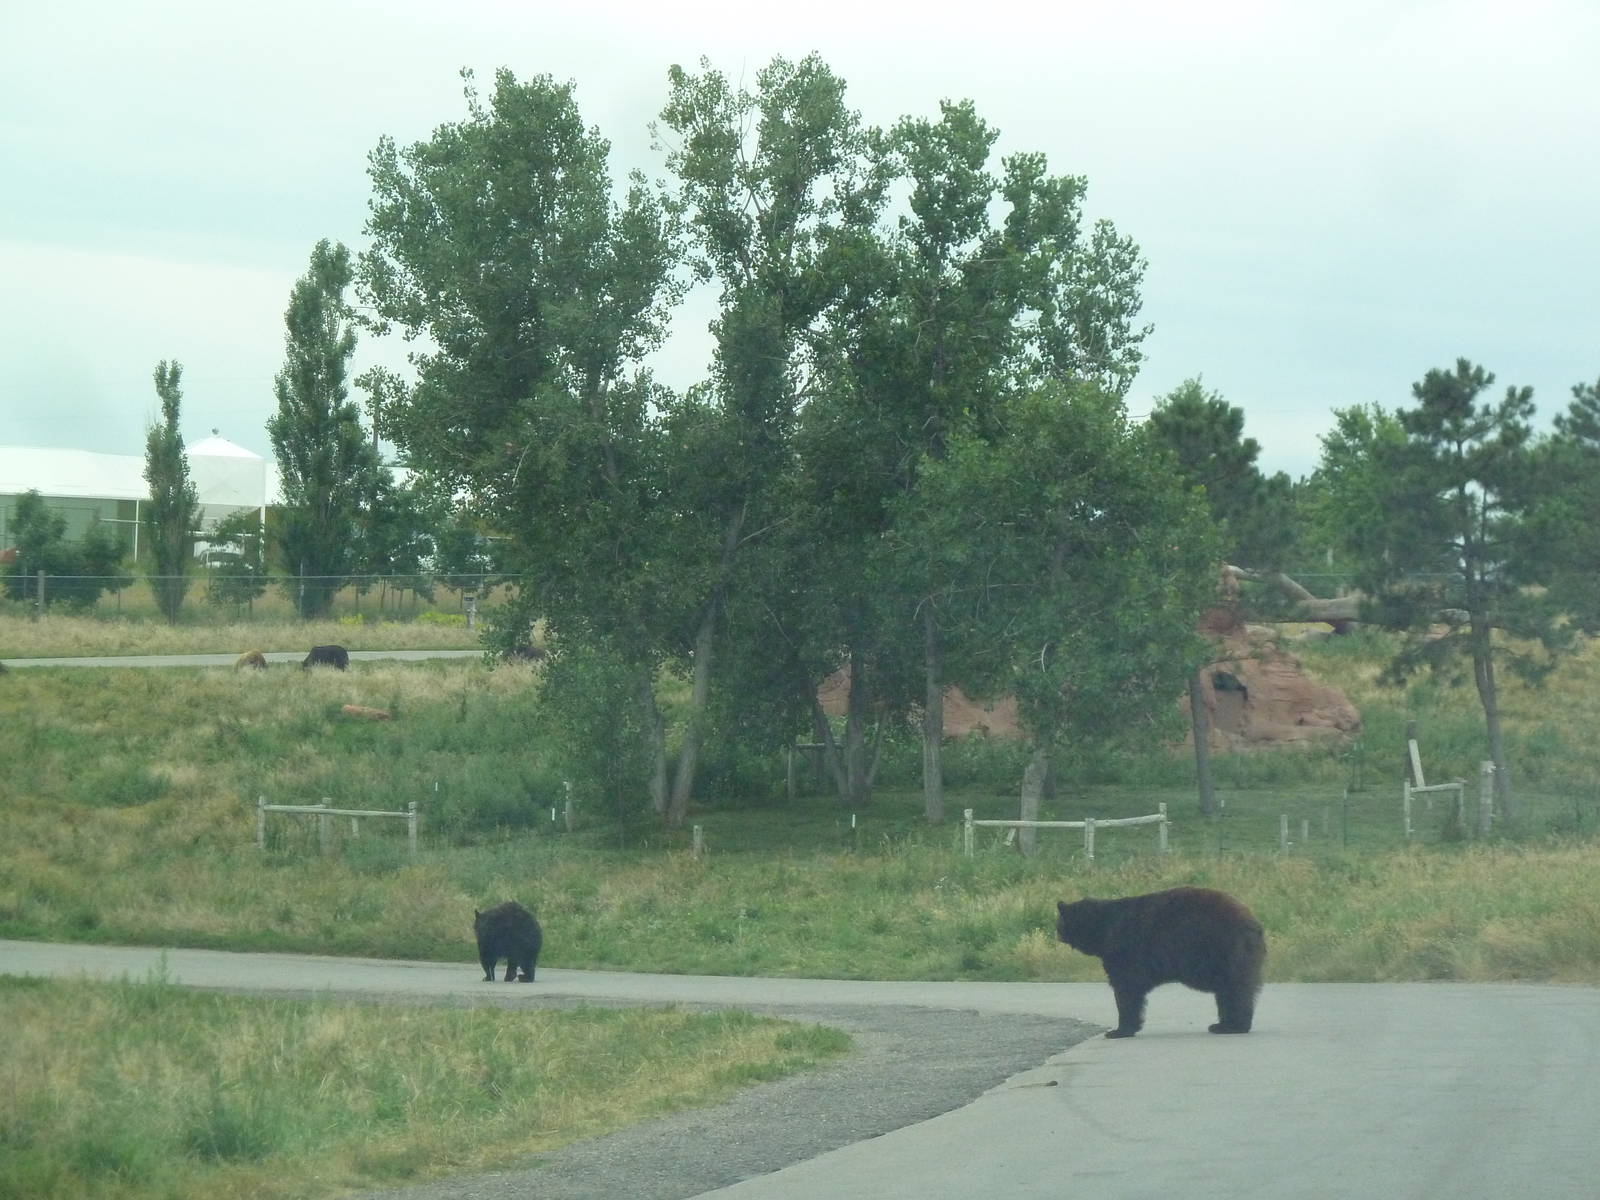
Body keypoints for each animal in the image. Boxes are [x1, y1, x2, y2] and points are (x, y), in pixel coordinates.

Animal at [1055, 886, 1265, 1038]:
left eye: (1058, 924)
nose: (1057, 935)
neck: (1102, 929)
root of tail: (1253, 921)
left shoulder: (1124, 949)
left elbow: (1126, 987)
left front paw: (1119, 1030)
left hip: (1224, 948)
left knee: (1234, 988)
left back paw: (1233, 1026)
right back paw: (1222, 1024)